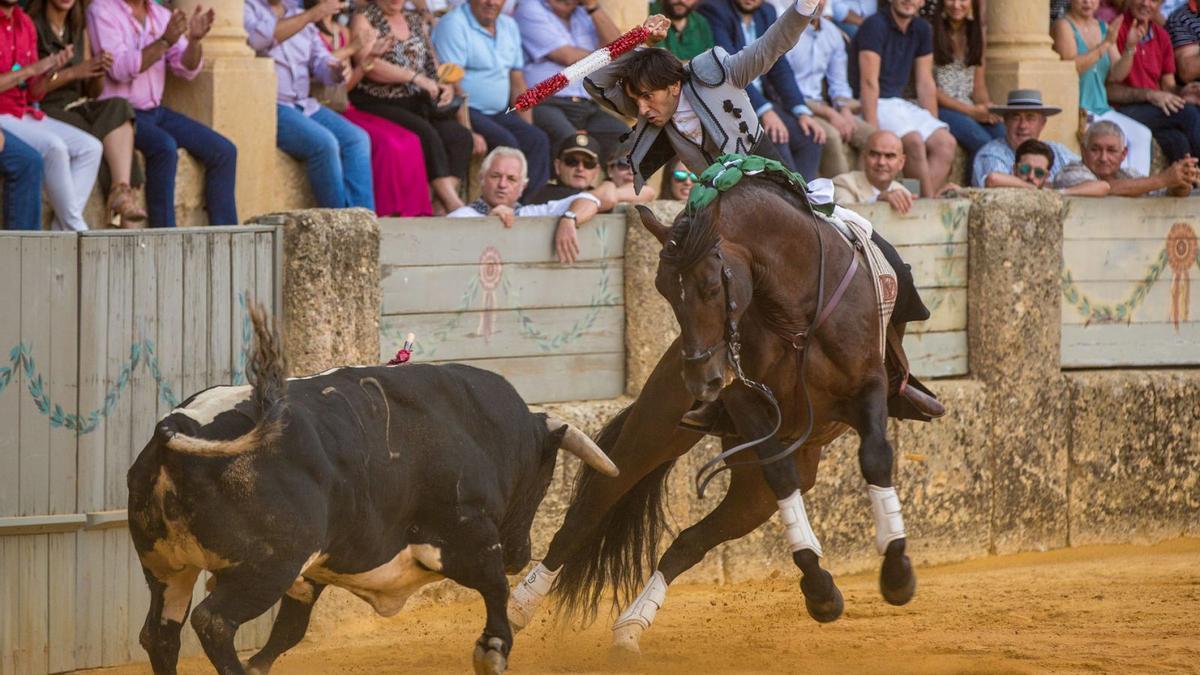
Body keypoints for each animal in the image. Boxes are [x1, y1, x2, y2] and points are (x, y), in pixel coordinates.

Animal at [130, 306, 619, 672]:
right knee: (213, 622)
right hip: (265, 567)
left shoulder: (310, 573)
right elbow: (495, 589)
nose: (522, 553)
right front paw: (493, 650)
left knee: (160, 634)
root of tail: (178, 426)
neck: (478, 425)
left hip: (167, 568)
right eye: (545, 479)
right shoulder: (470, 534)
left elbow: (290, 630)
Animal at [508, 177, 916, 653]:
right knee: (590, 510)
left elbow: (876, 457)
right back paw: (521, 604)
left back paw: (631, 625)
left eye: (710, 285)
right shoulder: (749, 403)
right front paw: (820, 590)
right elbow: (782, 475)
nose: (701, 381)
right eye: (663, 288)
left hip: (754, 490)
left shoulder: (868, 387)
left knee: (690, 540)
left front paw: (896, 572)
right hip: (654, 432)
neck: (795, 312)